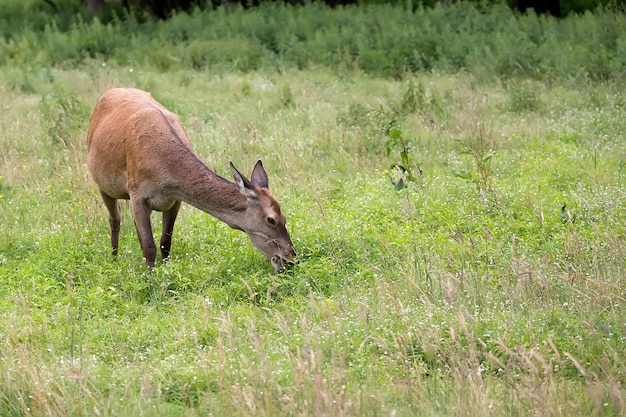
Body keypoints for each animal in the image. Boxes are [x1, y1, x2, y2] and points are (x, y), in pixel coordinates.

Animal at [86, 86, 298, 272]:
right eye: (271, 220)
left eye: (285, 218)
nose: (291, 259)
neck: (163, 171)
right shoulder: (137, 192)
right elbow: (149, 245)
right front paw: (151, 279)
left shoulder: (175, 199)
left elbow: (164, 242)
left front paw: (165, 270)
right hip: (103, 184)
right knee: (115, 219)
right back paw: (114, 259)